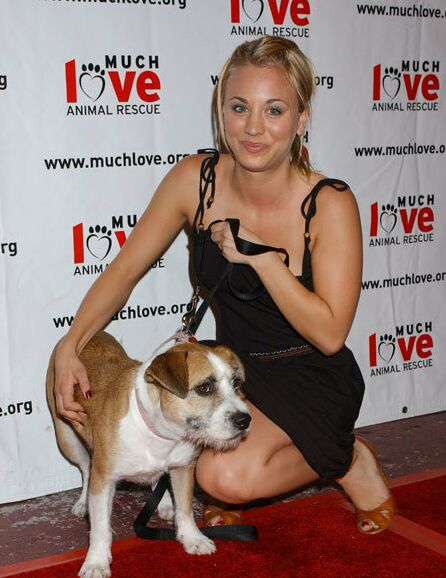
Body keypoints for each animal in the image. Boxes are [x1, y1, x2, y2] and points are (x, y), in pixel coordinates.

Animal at [46, 331, 250, 578]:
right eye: (205, 388)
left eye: (236, 383)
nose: (245, 420)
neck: (159, 431)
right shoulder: (103, 479)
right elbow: (101, 528)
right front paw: (96, 561)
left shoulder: (183, 468)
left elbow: (185, 509)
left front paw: (192, 537)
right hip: (67, 438)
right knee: (86, 468)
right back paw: (83, 502)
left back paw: (163, 502)